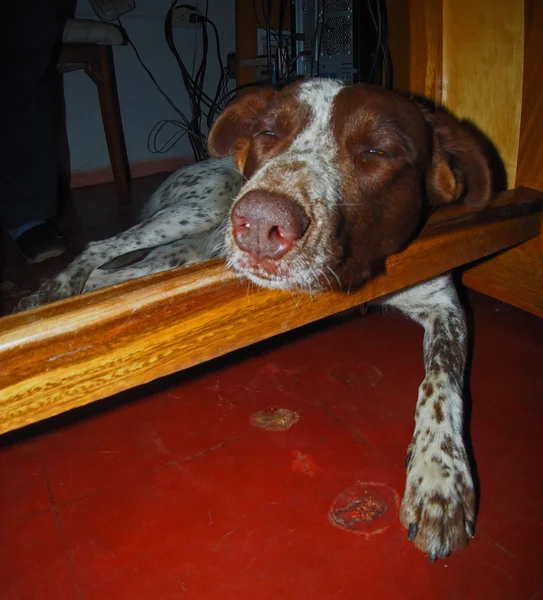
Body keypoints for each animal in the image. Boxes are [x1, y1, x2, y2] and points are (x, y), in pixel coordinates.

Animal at [18, 77, 492, 560]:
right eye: (267, 132)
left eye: (377, 150)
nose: (262, 222)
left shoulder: (442, 300)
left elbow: (440, 383)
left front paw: (439, 479)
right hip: (194, 214)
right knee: (100, 251)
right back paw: (52, 293)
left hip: (185, 251)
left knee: (110, 273)